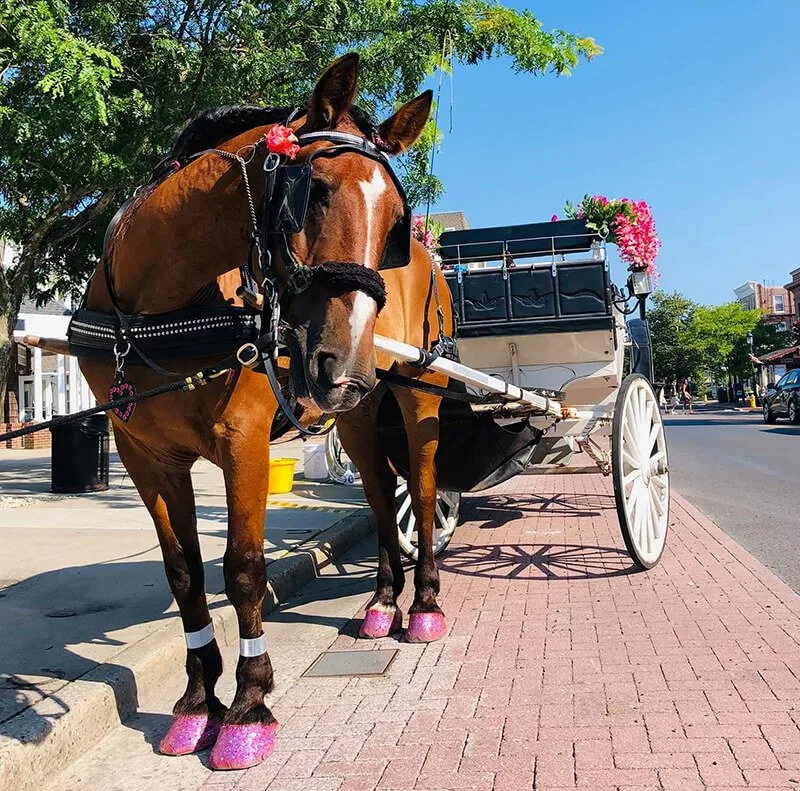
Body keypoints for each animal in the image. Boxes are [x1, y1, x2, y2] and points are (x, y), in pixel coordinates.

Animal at [82, 57, 456, 772]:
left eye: (397, 220)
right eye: (312, 192)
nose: (345, 367)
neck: (158, 309)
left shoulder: (245, 441)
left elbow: (244, 568)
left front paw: (248, 708)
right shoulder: (142, 451)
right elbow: (183, 573)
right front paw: (198, 703)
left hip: (420, 394)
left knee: (422, 496)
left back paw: (423, 602)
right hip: (358, 417)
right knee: (378, 495)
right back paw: (382, 600)